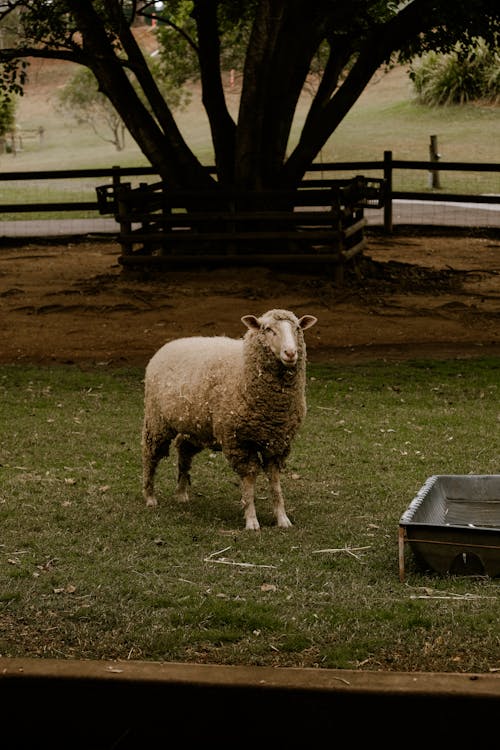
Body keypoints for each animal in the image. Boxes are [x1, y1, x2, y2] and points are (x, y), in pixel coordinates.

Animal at [143, 308, 318, 532]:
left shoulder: (277, 443)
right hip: (156, 421)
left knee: (184, 450)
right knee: (150, 455)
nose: (290, 353)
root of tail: (169, 344)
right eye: (267, 329)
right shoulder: (239, 441)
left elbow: (275, 483)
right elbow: (249, 481)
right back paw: (149, 496)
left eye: (297, 328)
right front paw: (251, 520)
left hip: (194, 427)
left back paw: (181, 493)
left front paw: (282, 518)